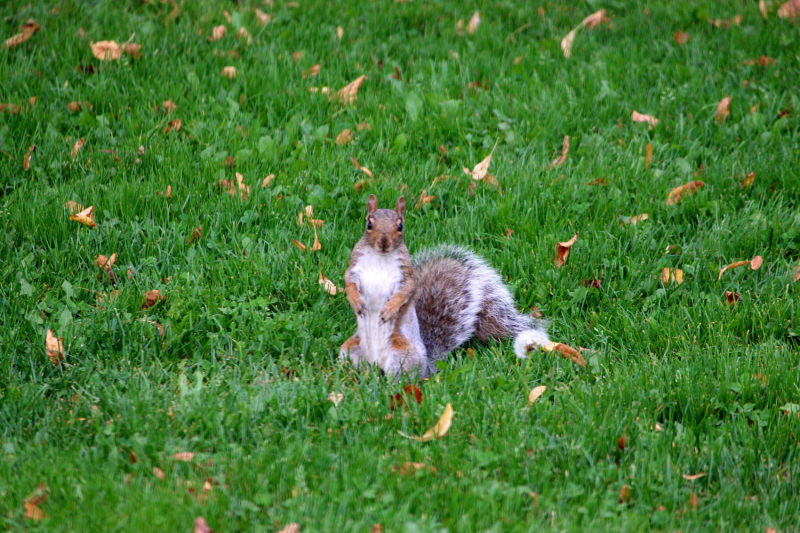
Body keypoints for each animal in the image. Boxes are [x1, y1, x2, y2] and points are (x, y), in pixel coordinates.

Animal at [338, 194, 552, 378]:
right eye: (369, 224)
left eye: (400, 226)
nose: (384, 243)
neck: (380, 258)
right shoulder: (354, 269)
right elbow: (348, 283)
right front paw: (355, 301)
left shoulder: (406, 277)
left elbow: (405, 292)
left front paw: (390, 308)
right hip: (349, 350)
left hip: (401, 357)